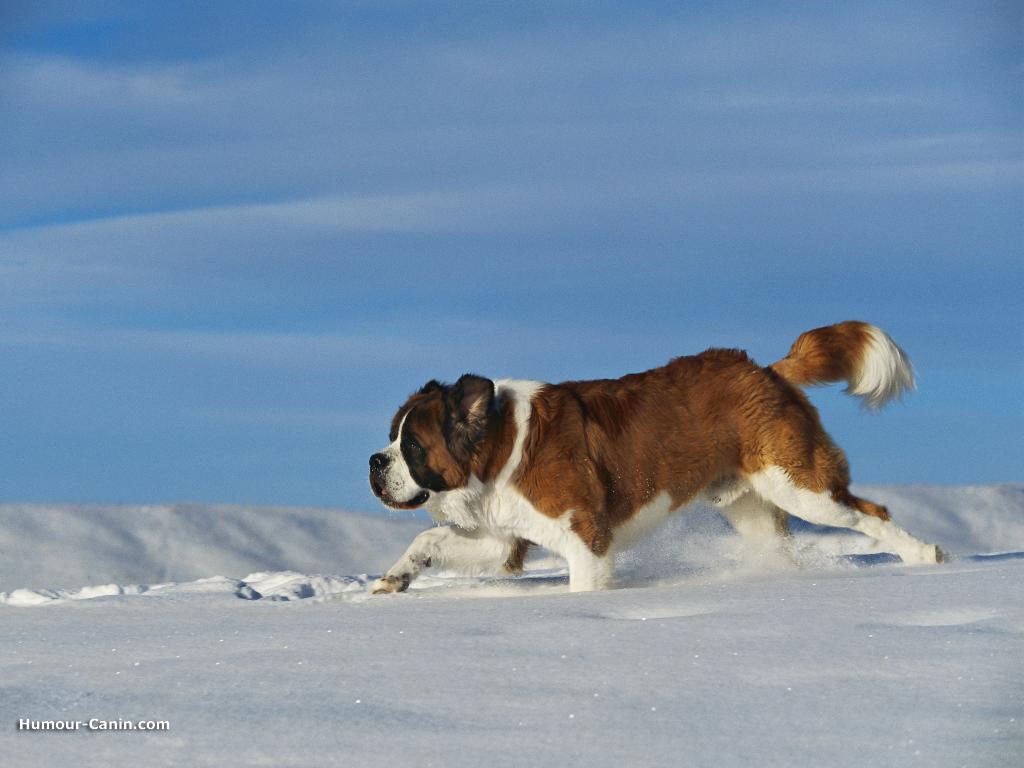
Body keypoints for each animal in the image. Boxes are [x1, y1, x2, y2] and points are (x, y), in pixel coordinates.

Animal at [370, 323, 942, 593]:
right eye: (392, 438)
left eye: (412, 445)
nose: (375, 462)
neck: (498, 447)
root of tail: (764, 370)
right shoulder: (504, 538)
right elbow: (429, 540)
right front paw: (395, 578)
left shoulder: (587, 538)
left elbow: (584, 582)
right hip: (753, 508)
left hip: (799, 485)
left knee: (871, 513)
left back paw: (926, 556)